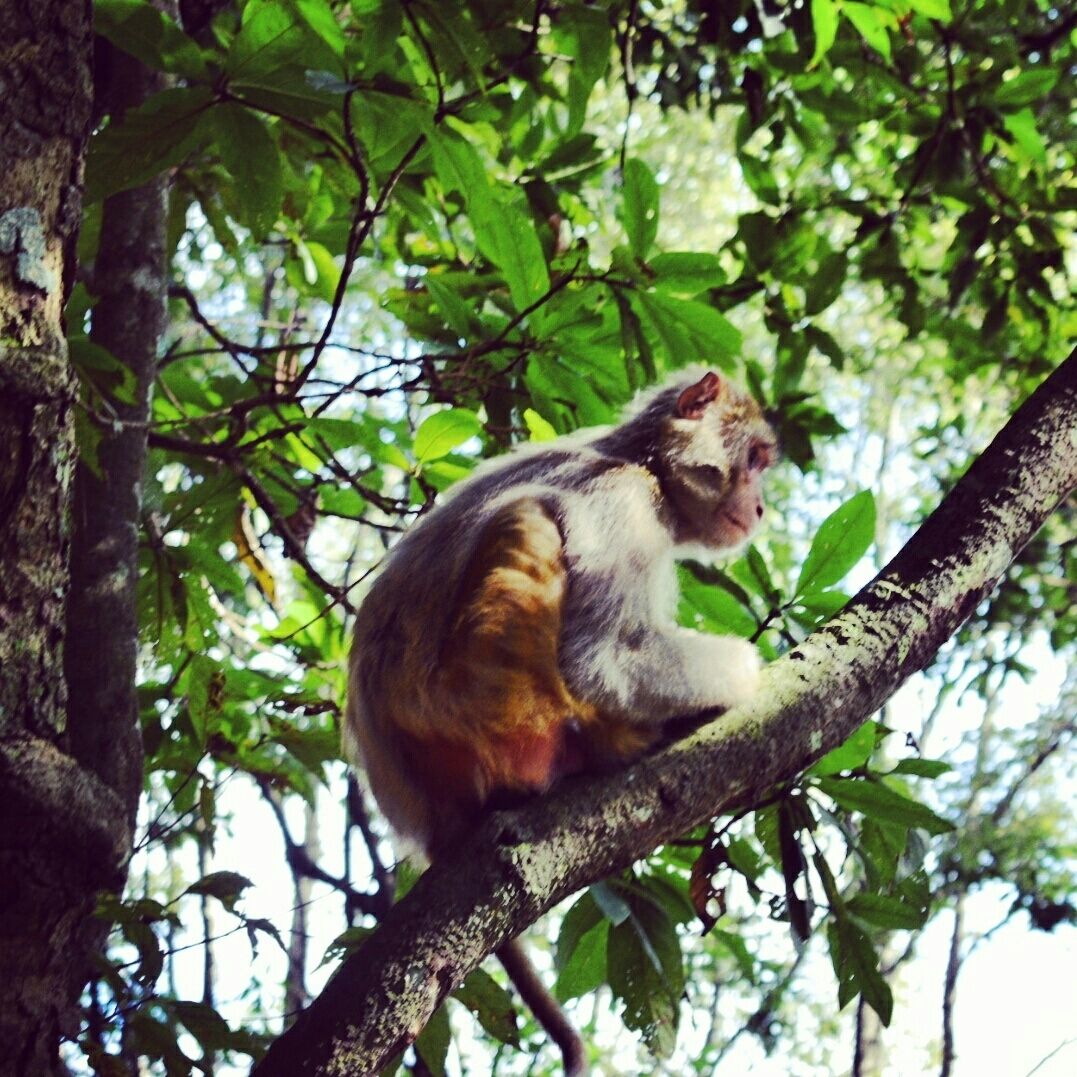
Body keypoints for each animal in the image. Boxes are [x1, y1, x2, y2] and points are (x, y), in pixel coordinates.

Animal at [345, 368, 777, 1075]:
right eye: (757, 461)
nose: (761, 506)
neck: (641, 463)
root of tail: (424, 819)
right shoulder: (621, 505)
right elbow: (604, 662)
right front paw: (746, 672)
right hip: (479, 703)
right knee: (535, 521)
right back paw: (601, 746)